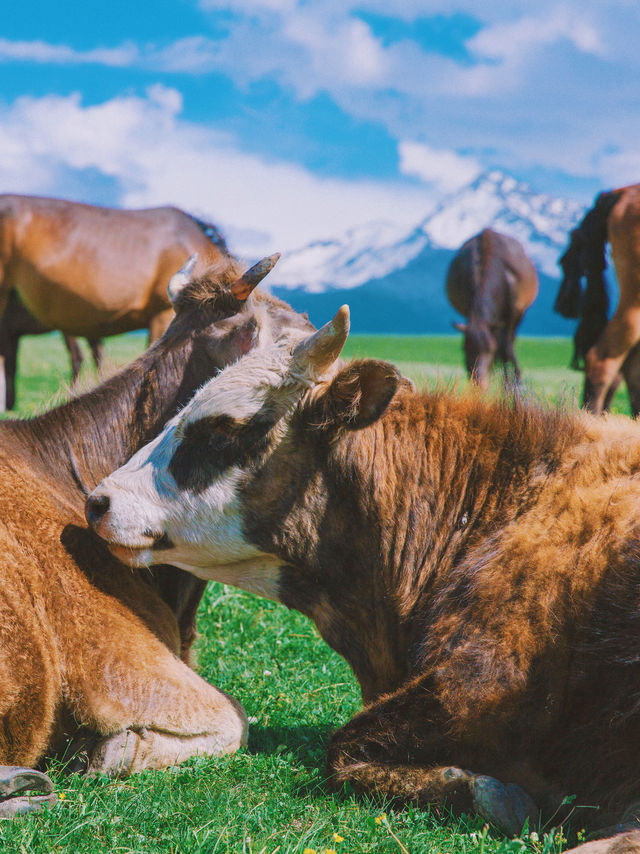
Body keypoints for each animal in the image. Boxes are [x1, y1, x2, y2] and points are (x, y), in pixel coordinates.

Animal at [444, 226, 540, 390]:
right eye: (465, 348)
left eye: (489, 350)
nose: (479, 383)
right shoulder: (468, 307)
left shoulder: (513, 313)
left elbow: (506, 348)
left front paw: (511, 384)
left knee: (509, 342)